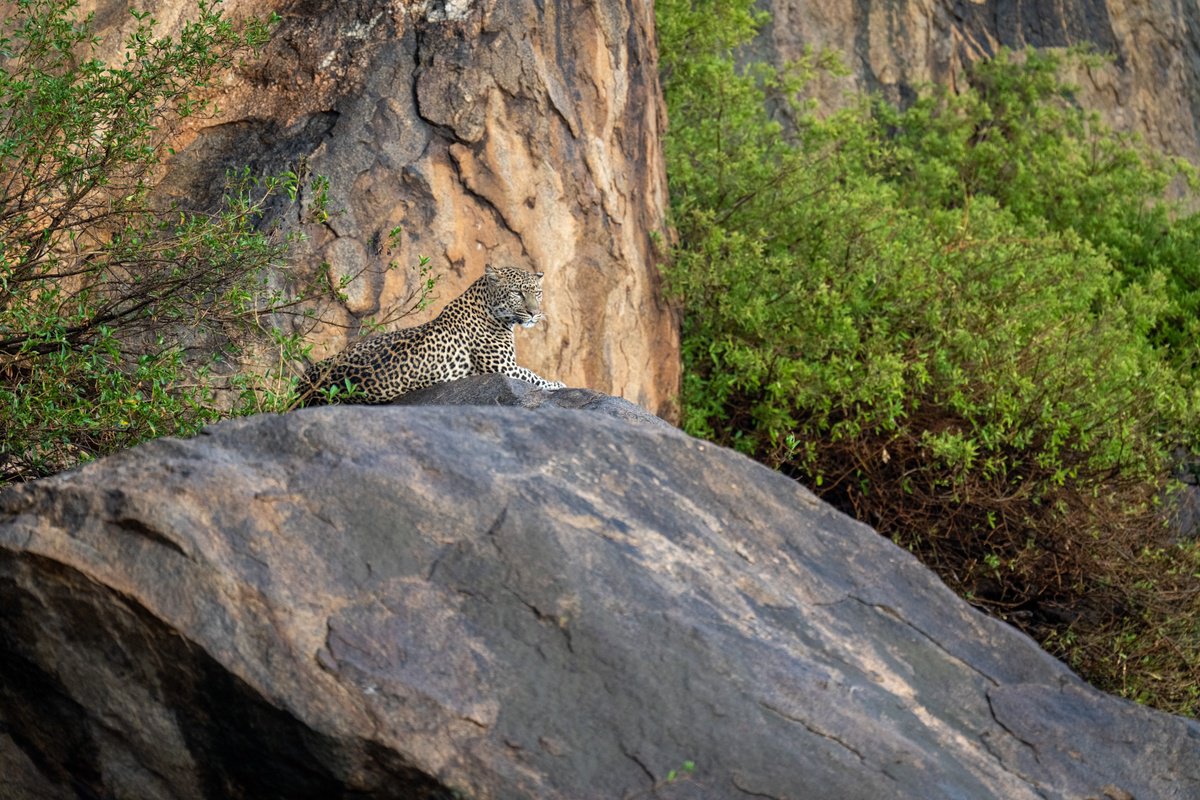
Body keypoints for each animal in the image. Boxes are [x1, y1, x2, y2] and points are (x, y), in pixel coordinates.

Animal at [297, 264, 565, 405]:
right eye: (517, 293)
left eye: (537, 293)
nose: (534, 313)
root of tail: (304, 385)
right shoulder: (503, 368)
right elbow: (533, 377)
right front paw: (558, 383)